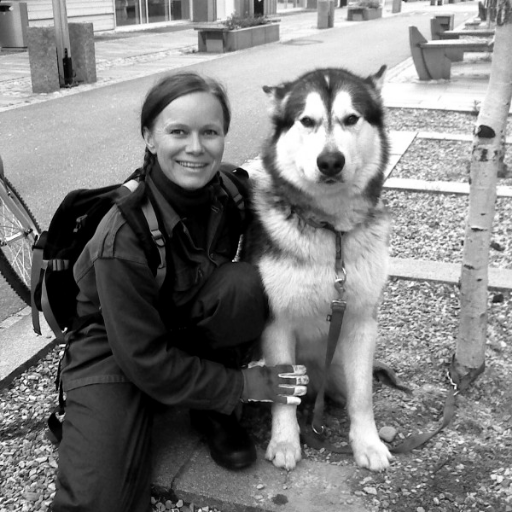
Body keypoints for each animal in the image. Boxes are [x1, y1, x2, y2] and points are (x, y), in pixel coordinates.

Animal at [243, 67, 392, 472]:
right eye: (306, 121)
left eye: (351, 118)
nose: (330, 161)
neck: (331, 231)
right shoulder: (277, 323)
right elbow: (282, 393)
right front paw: (284, 442)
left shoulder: (361, 322)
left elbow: (363, 396)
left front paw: (367, 443)